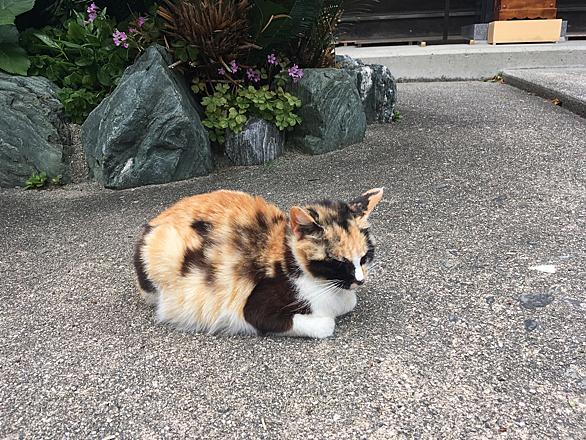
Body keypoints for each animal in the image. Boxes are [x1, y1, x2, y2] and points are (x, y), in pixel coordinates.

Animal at [134, 188, 383, 338]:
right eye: (338, 262)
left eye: (364, 257)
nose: (360, 281)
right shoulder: (254, 308)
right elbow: (325, 324)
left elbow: (350, 301)